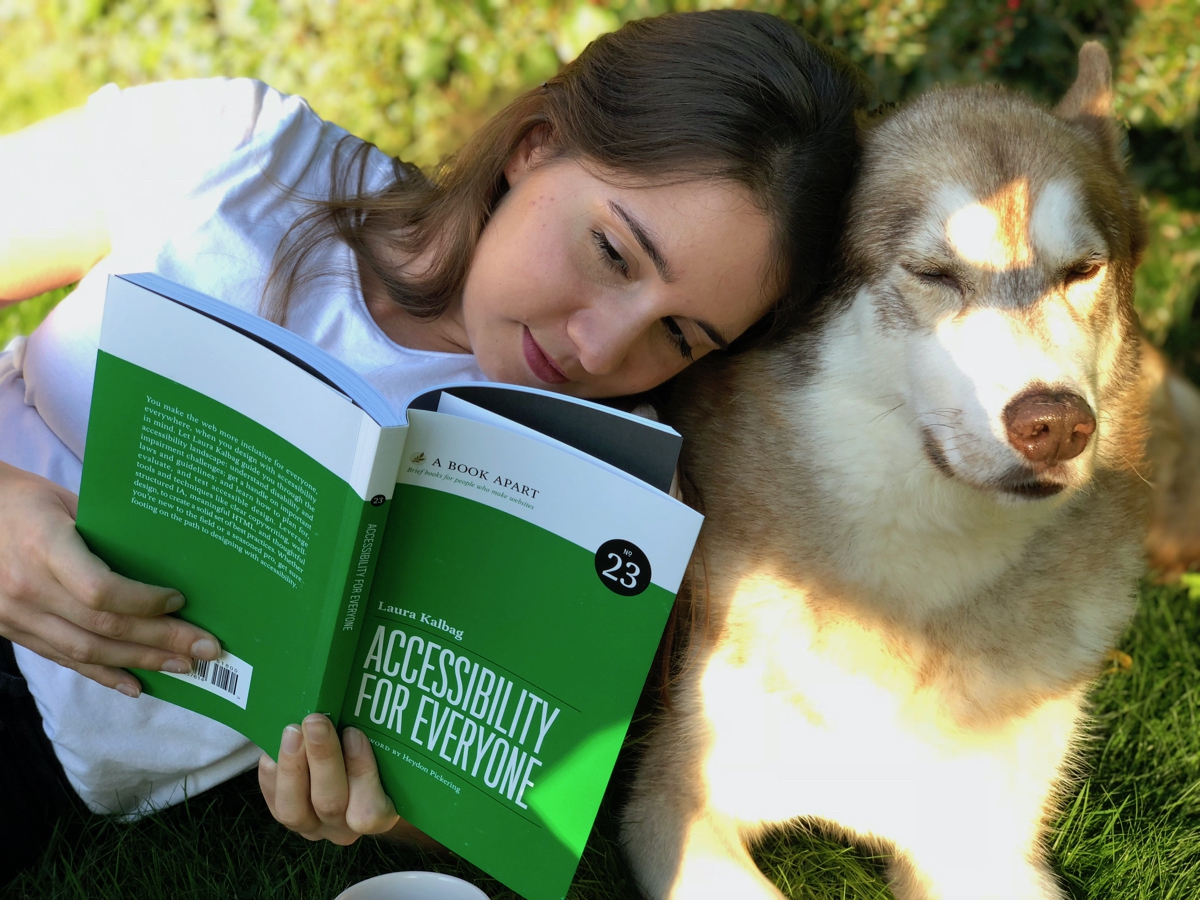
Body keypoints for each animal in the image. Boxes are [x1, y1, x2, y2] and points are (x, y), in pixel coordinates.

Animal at [624, 44, 1147, 900]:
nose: (1057, 425)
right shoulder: (674, 802)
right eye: (934, 274)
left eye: (1082, 271)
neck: (916, 595)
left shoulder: (983, 850)